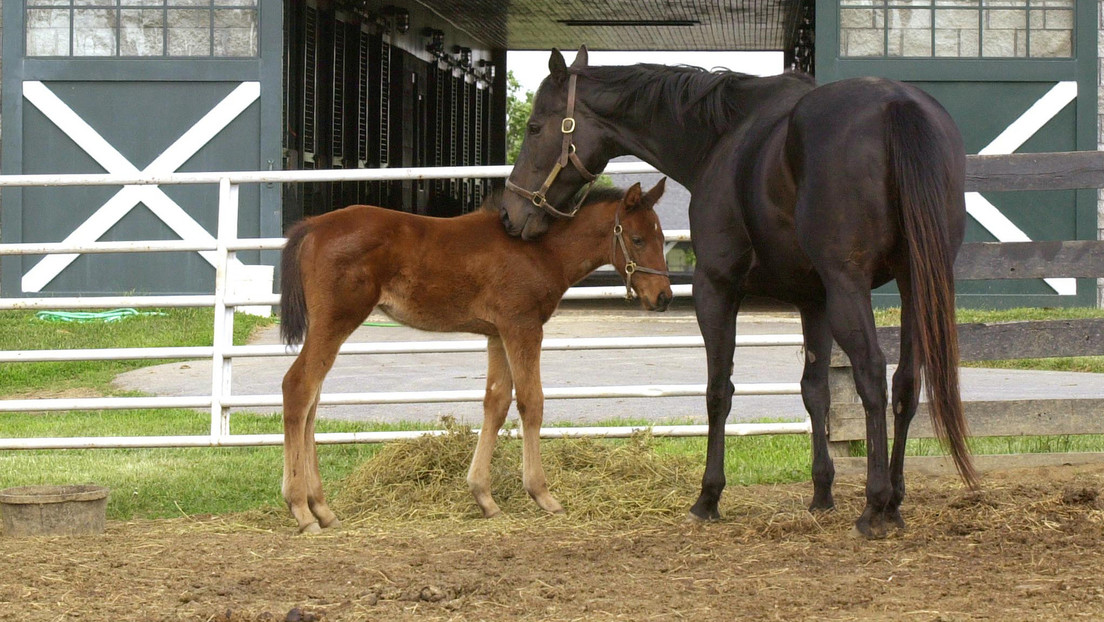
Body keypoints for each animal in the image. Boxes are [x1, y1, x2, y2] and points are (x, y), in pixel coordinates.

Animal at [279, 180, 673, 533]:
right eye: (637, 239)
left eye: (662, 238)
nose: (664, 296)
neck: (542, 251)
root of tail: (313, 226)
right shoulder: (522, 326)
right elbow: (531, 401)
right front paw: (543, 495)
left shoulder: (497, 333)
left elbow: (496, 402)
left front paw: (484, 497)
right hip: (336, 320)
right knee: (298, 386)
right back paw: (301, 509)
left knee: (312, 398)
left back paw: (322, 508)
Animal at [499, 46, 977, 538]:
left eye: (535, 127)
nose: (510, 214)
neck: (721, 138)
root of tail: (896, 104)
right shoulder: (815, 301)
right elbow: (815, 391)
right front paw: (821, 493)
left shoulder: (717, 287)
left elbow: (718, 391)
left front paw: (708, 496)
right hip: (913, 285)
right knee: (906, 382)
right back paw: (895, 501)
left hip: (851, 288)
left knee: (872, 375)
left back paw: (875, 505)